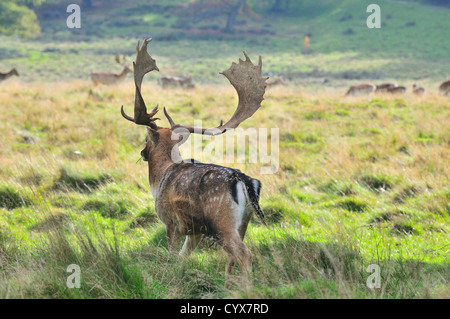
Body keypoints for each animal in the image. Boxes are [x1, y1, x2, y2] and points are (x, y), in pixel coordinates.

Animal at [120, 38, 268, 288]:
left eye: (147, 139)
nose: (142, 152)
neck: (159, 179)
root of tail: (245, 182)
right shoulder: (195, 230)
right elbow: (183, 257)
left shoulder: (171, 222)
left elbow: (172, 255)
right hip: (244, 222)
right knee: (231, 258)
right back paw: (228, 286)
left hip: (222, 222)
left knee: (244, 255)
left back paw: (248, 289)